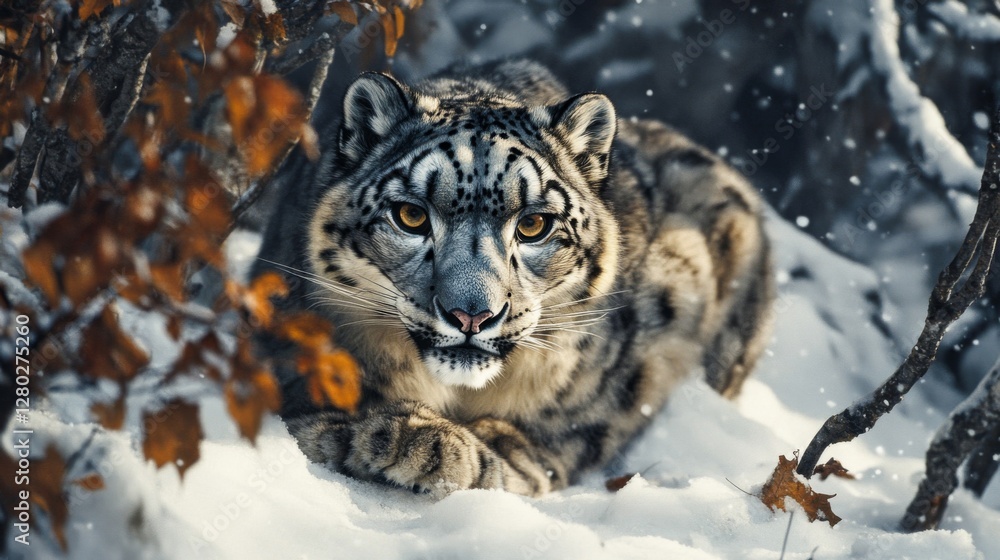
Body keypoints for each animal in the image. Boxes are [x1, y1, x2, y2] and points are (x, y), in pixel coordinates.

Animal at [252, 59, 773, 498]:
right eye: (411, 216)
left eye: (534, 224)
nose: (472, 315)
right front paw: (394, 431)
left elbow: (524, 450)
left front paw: (434, 442)